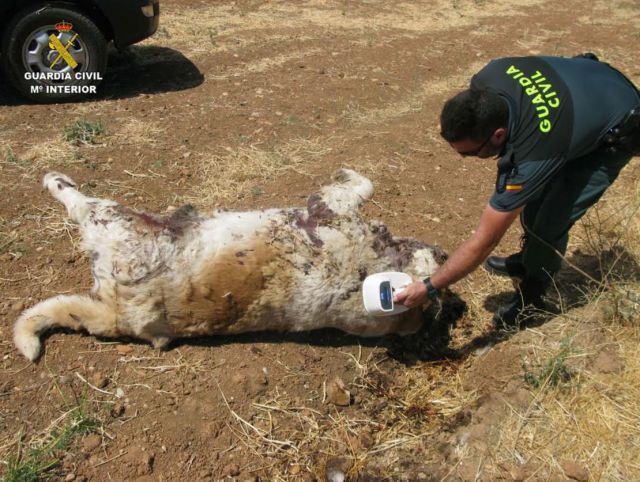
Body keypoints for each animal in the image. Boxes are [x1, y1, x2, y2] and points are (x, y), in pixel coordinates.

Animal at [13, 169, 444, 362]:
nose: (443, 255)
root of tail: (119, 315)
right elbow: (362, 185)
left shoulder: (331, 211)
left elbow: (357, 186)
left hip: (114, 219)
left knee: (77, 203)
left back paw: (54, 179)